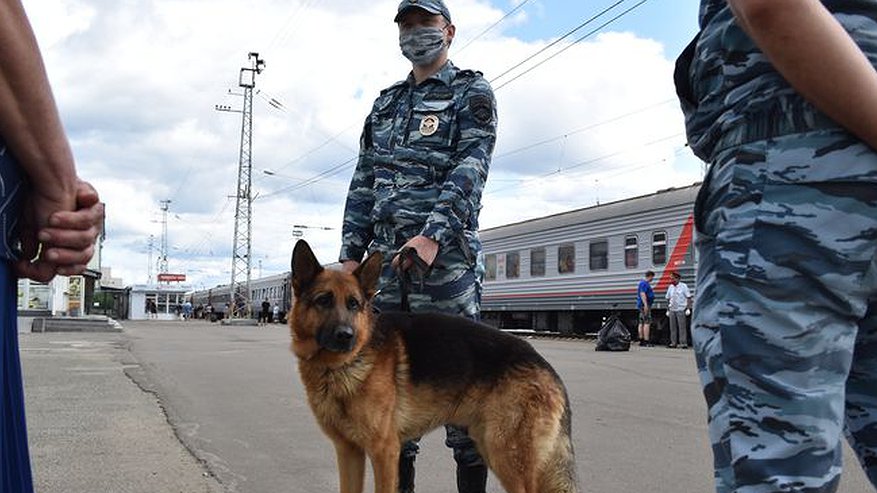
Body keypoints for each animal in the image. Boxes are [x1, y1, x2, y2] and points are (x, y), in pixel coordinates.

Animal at [290, 241, 576, 492]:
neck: (343, 366)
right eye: (323, 300)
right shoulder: (349, 452)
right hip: (487, 443)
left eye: (353, 304)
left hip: (505, 454)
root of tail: (543, 364)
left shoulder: (384, 451)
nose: (345, 336)